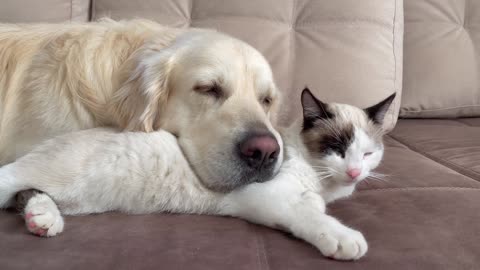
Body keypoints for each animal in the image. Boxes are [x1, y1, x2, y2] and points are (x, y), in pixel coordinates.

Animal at [0, 88, 394, 260]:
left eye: (368, 153)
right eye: (337, 147)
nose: (355, 171)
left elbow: (314, 210)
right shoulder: (270, 197)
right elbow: (314, 218)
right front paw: (345, 240)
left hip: (77, 198)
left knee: (30, 195)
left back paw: (43, 221)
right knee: (12, 182)